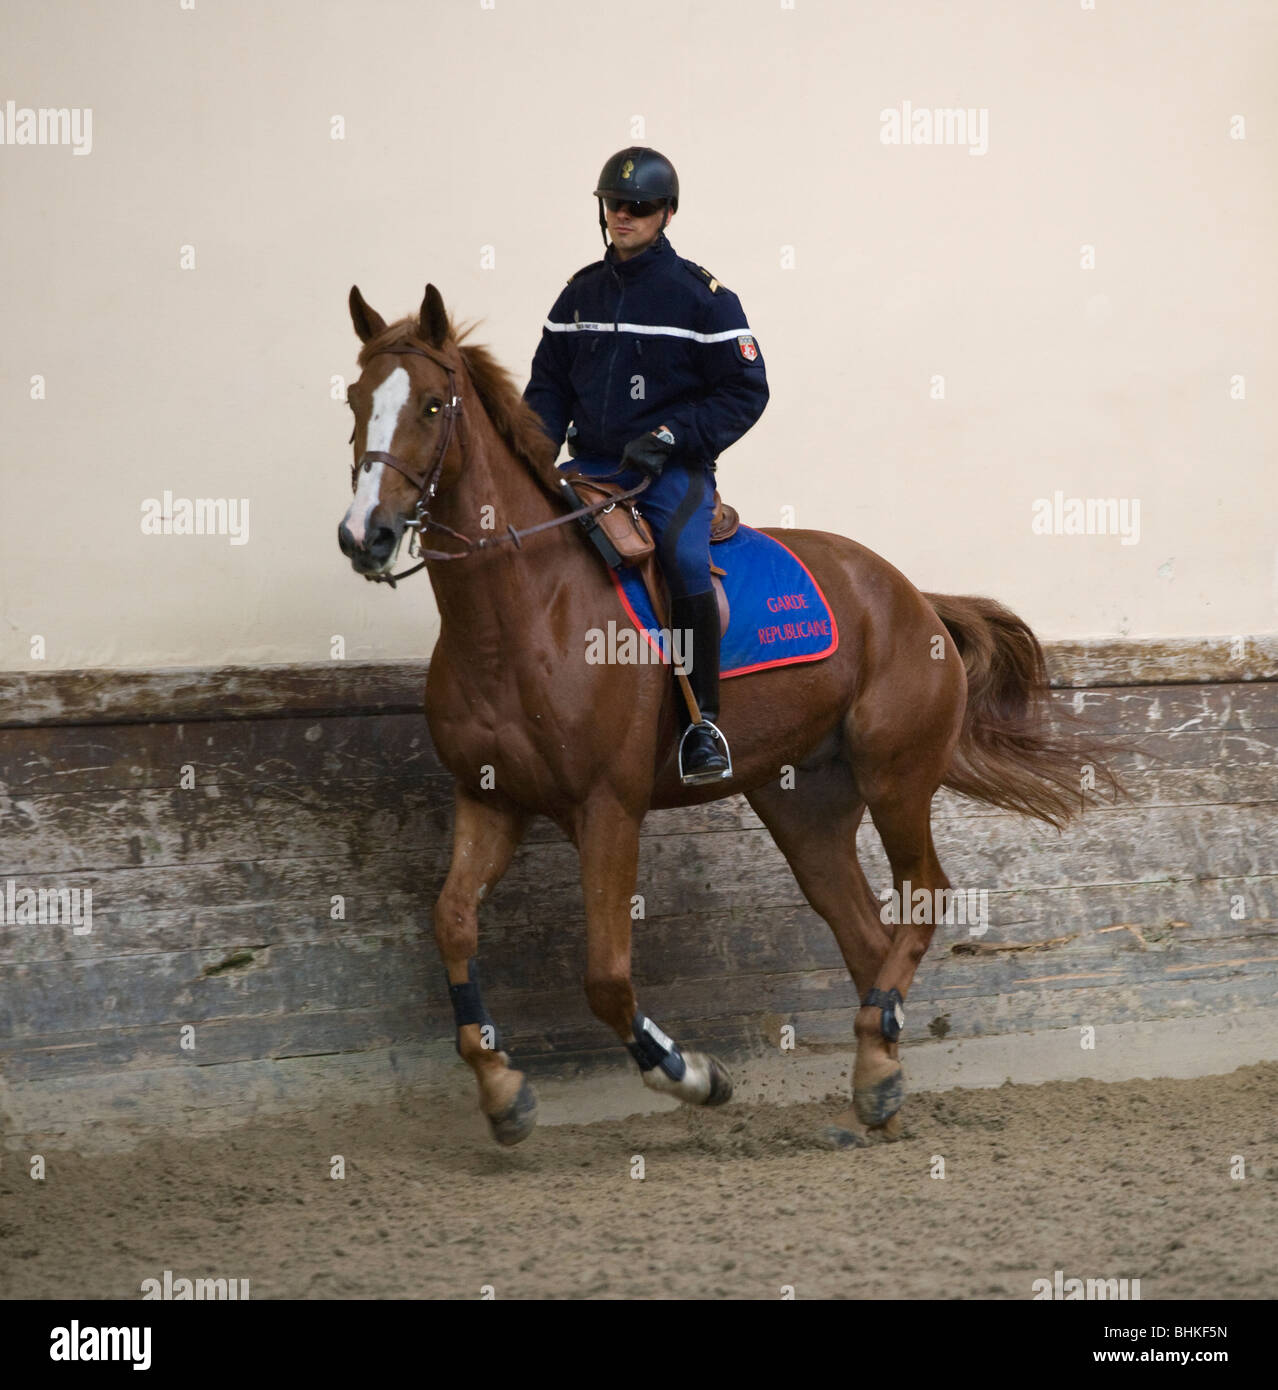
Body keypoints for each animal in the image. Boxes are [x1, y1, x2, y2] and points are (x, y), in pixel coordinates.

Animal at [337, 283, 1117, 1148]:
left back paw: (877, 1049)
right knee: (865, 933)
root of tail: (914, 598)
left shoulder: (608, 808)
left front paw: (691, 1074)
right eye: (355, 400)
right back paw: (878, 1073)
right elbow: (452, 923)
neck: (521, 614)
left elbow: (606, 978)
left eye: (433, 405)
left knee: (925, 897)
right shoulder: (490, 799)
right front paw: (502, 1089)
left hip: (896, 777)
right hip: (803, 804)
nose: (364, 535)